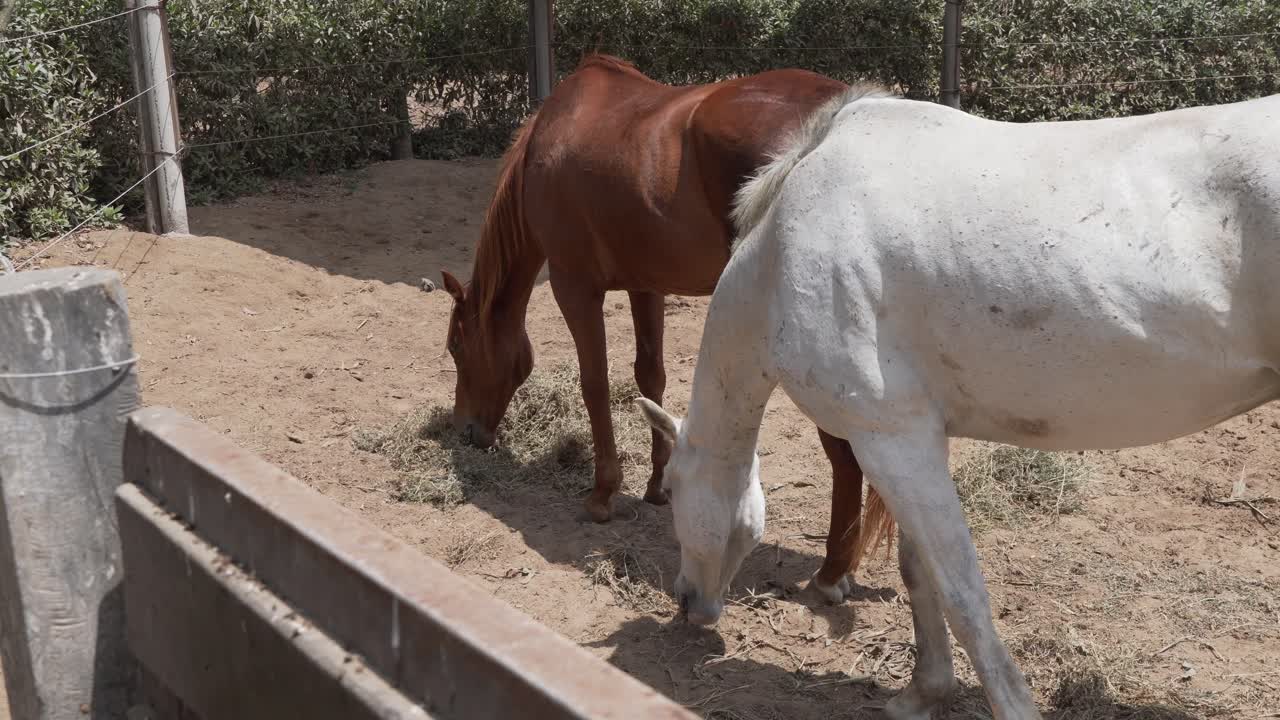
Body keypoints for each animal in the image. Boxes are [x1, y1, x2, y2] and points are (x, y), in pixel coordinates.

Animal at [439, 54, 893, 602]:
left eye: (457, 347)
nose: (466, 430)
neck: (549, 141)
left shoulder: (575, 287)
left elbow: (595, 385)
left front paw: (602, 494)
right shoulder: (646, 286)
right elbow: (649, 377)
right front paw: (656, 486)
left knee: (844, 456)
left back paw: (831, 571)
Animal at [636, 84, 1280, 720]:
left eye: (671, 488)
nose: (687, 602)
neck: (782, 256)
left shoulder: (889, 439)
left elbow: (963, 593)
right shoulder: (913, 442)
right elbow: (919, 571)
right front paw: (925, 692)